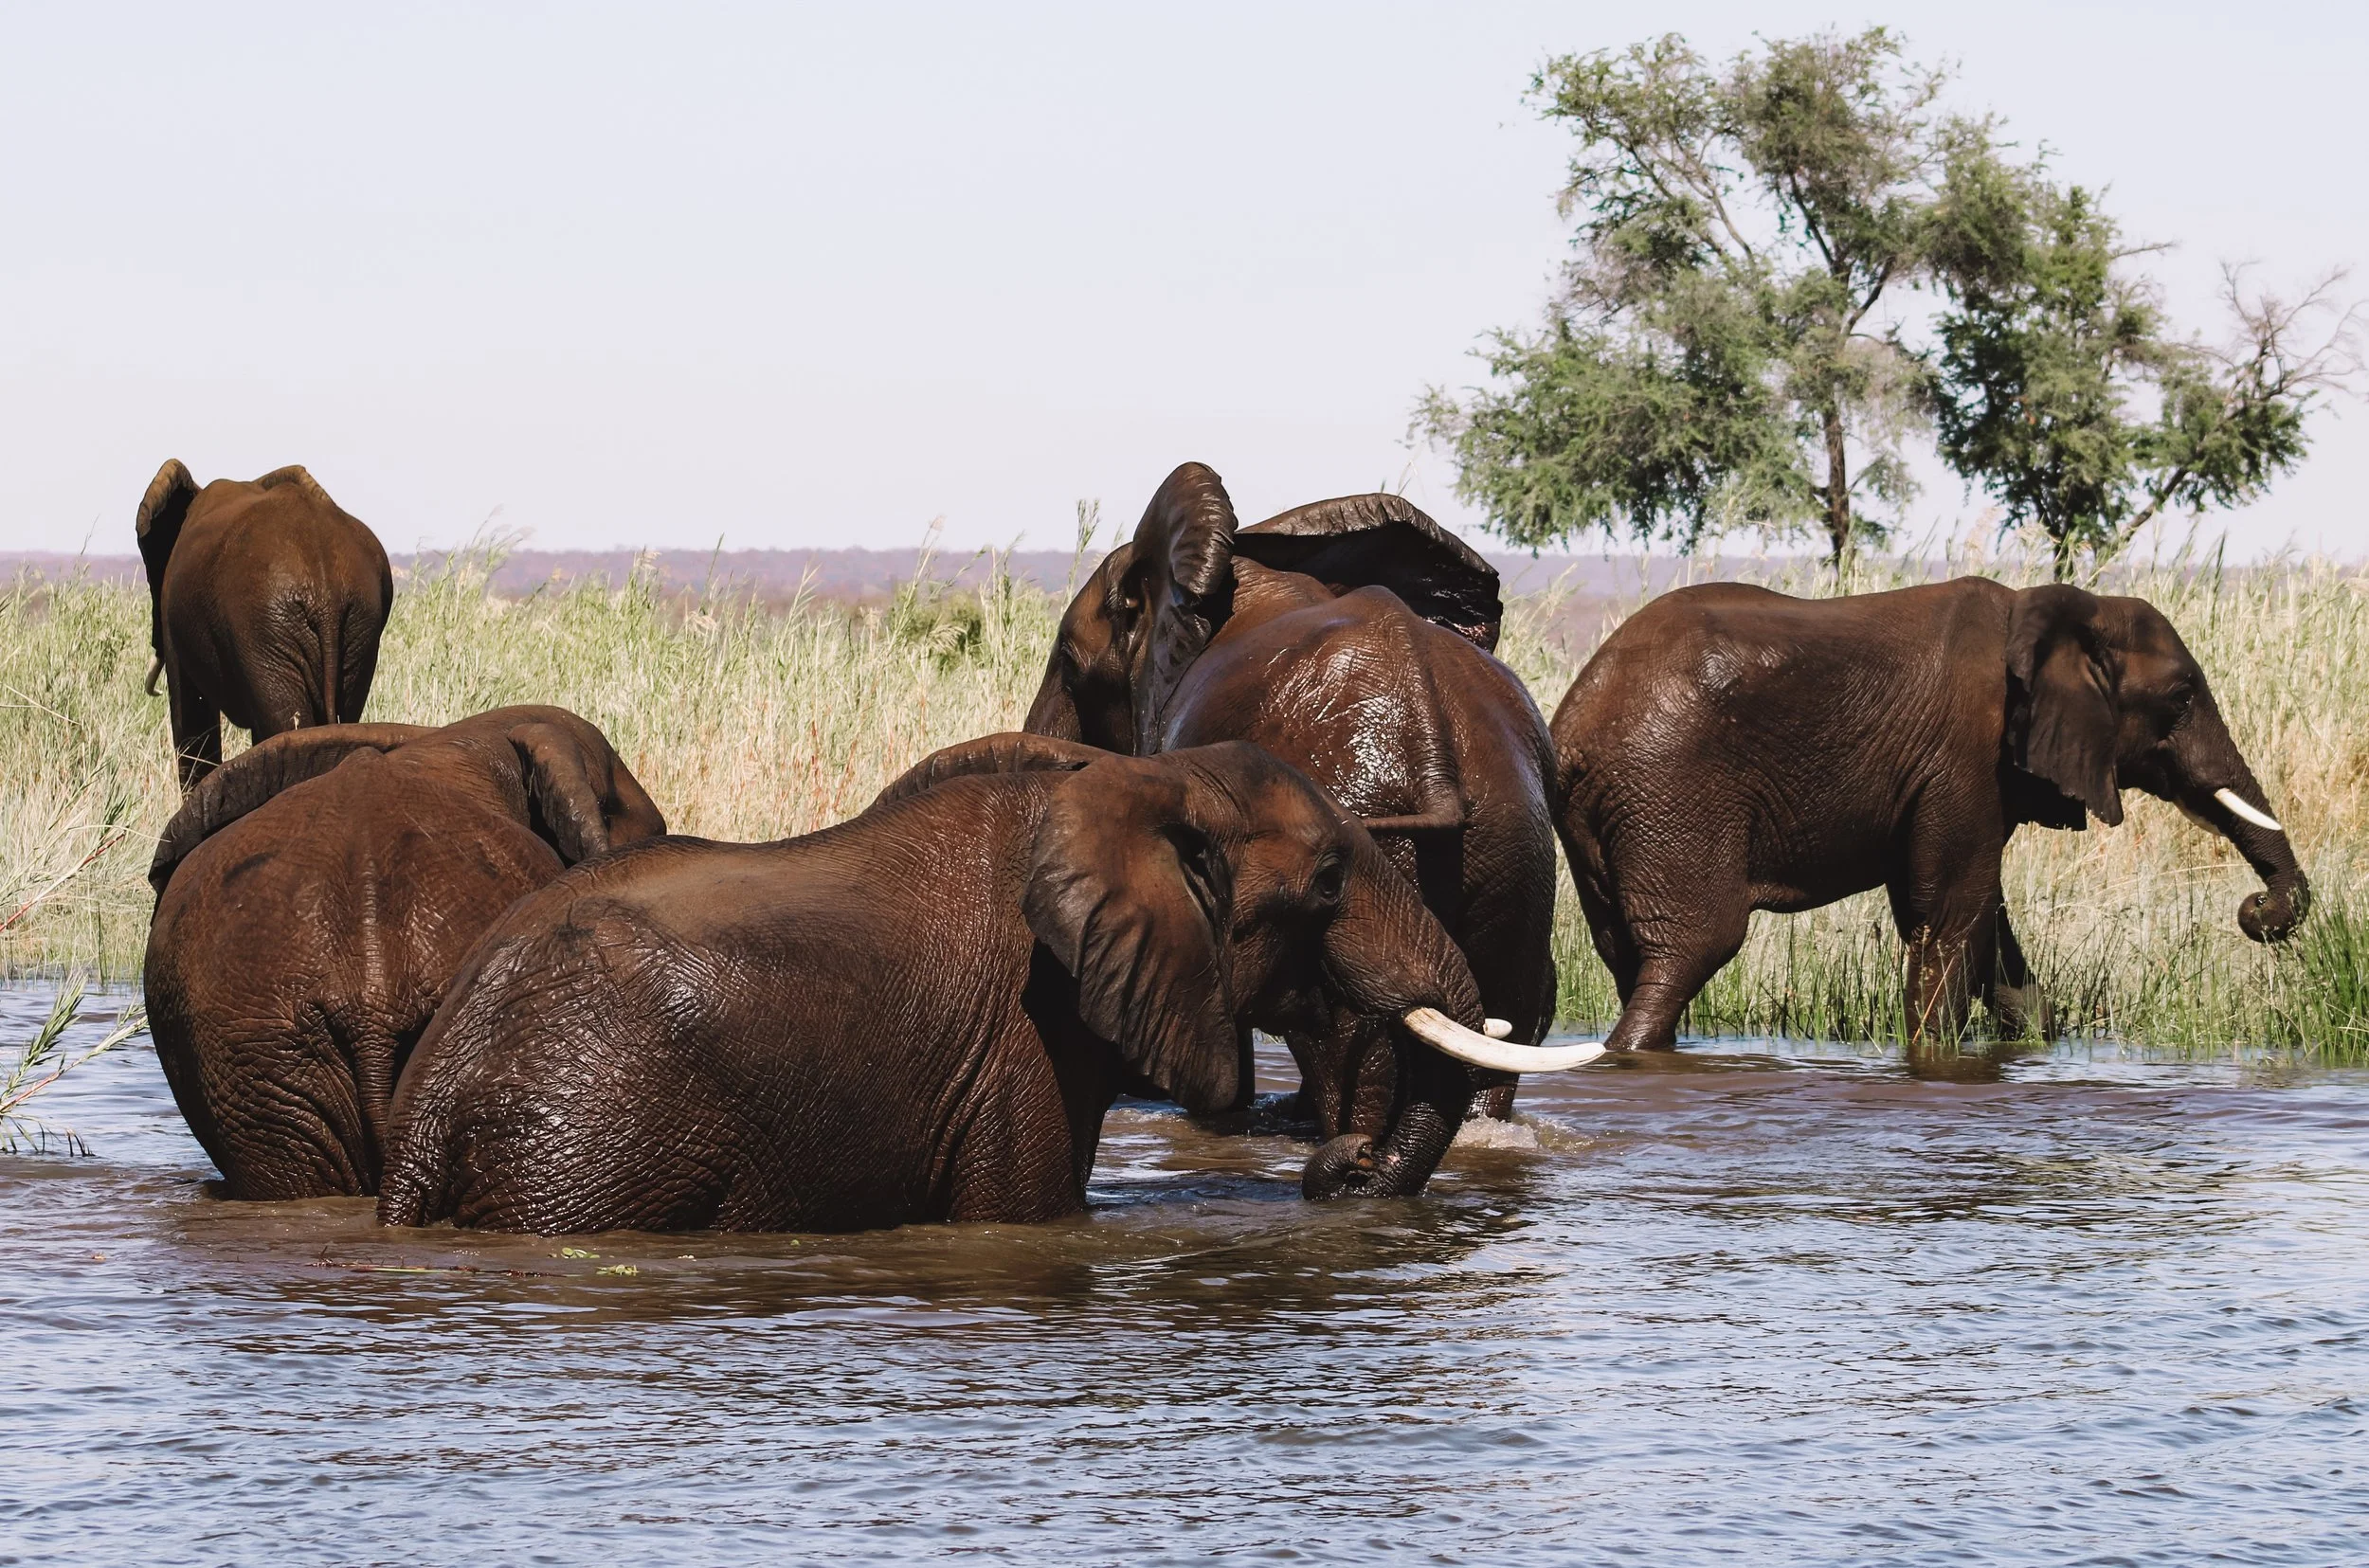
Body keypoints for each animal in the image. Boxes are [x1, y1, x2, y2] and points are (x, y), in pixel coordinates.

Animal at [376, 736, 1597, 1235]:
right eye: (1331, 878)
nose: (1337, 1164)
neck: (1133, 787)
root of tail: (434, 1098)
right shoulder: (1016, 1041)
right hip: (590, 1151)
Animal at [1551, 578, 2309, 1053]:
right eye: (2181, 698)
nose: (2255, 910)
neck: (2049, 607)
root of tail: (1574, 725)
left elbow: (1985, 925)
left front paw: (2040, 1040)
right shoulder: (1964, 756)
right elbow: (1950, 914)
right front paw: (1936, 1059)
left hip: (1606, 820)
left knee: (1628, 955)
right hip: (1671, 794)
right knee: (1693, 948)